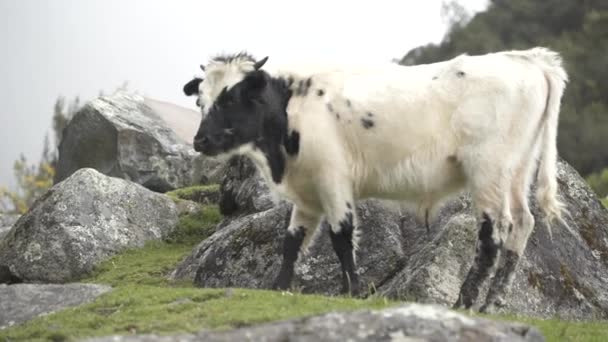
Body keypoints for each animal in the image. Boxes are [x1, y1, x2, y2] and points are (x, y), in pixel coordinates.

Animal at [183, 48, 568, 312]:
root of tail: (526, 58)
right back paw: (491, 302)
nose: (200, 140)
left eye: (231, 98)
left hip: (487, 171)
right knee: (523, 223)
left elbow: (341, 236)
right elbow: (292, 242)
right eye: (201, 100)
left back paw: (465, 302)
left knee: (493, 234)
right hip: (517, 171)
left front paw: (352, 290)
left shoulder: (333, 178)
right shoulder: (307, 193)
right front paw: (278, 286)